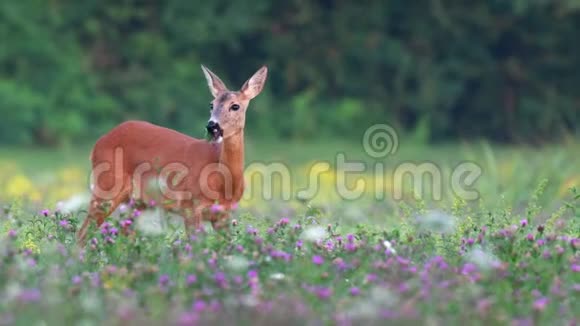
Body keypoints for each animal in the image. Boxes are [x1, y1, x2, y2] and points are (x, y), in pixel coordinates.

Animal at [77, 65, 268, 246]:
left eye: (235, 106)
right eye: (211, 104)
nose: (212, 126)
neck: (223, 182)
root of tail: (98, 142)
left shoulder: (223, 214)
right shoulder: (190, 206)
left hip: (138, 202)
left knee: (124, 234)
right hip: (107, 187)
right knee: (82, 233)